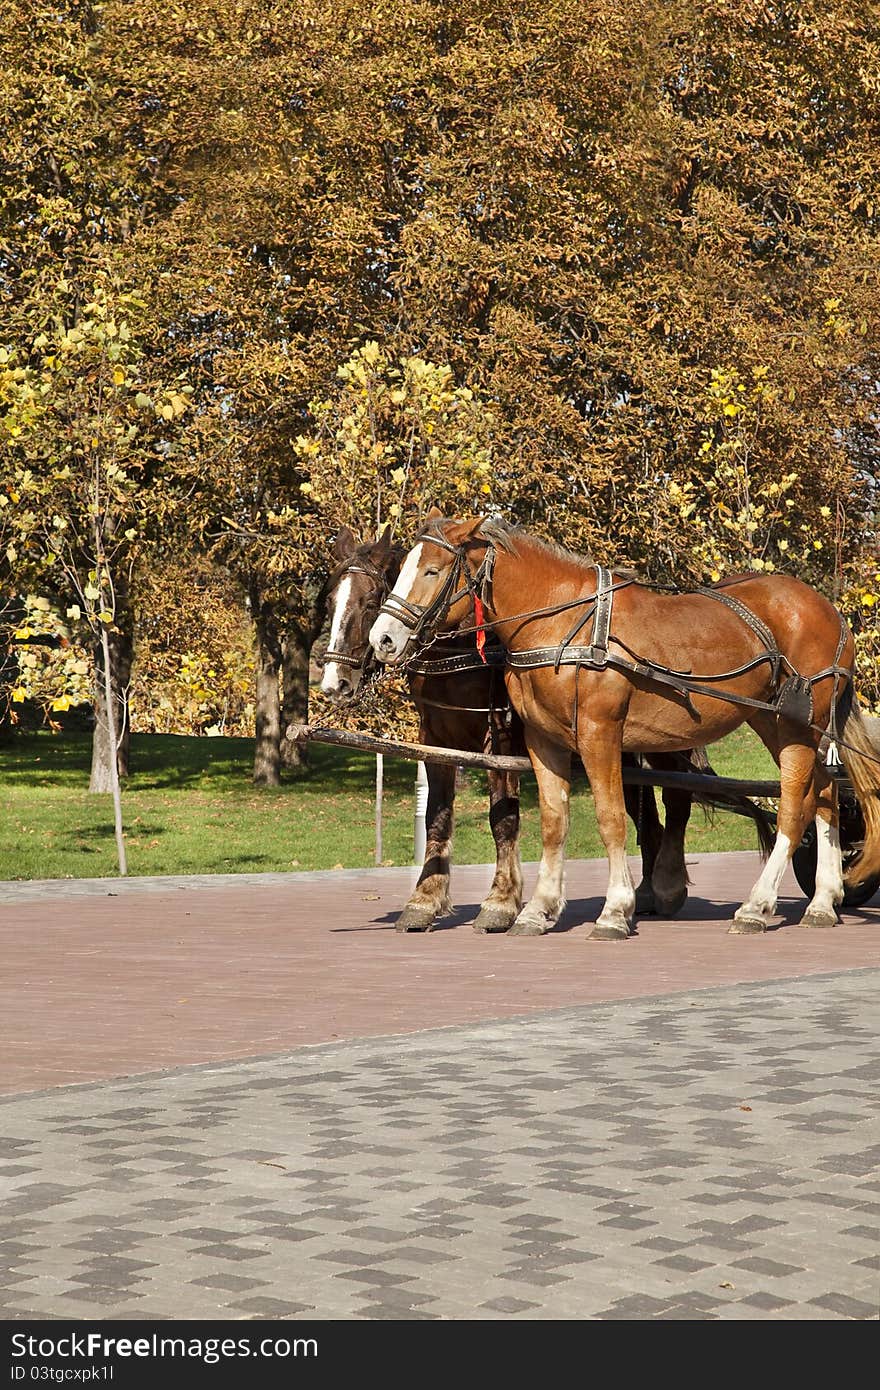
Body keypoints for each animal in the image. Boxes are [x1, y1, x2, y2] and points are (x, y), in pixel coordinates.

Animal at [316, 525, 767, 928]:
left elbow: (503, 817)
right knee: (647, 817)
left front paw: (500, 901)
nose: (335, 683)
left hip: (662, 738)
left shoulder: (497, 736)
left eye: (369, 600)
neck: (460, 654)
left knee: (676, 801)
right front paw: (425, 901)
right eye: (331, 602)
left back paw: (667, 886)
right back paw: (646, 893)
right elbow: (437, 816)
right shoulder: (436, 739)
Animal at [364, 517, 878, 939]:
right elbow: (554, 822)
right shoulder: (543, 741)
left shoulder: (599, 735)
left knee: (795, 806)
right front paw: (538, 909)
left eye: (432, 571)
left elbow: (610, 819)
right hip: (776, 721)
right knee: (826, 796)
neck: (565, 621)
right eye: (403, 568)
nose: (382, 639)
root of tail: (829, 610)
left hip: (800, 725)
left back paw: (757, 904)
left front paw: (615, 910)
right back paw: (823, 900)